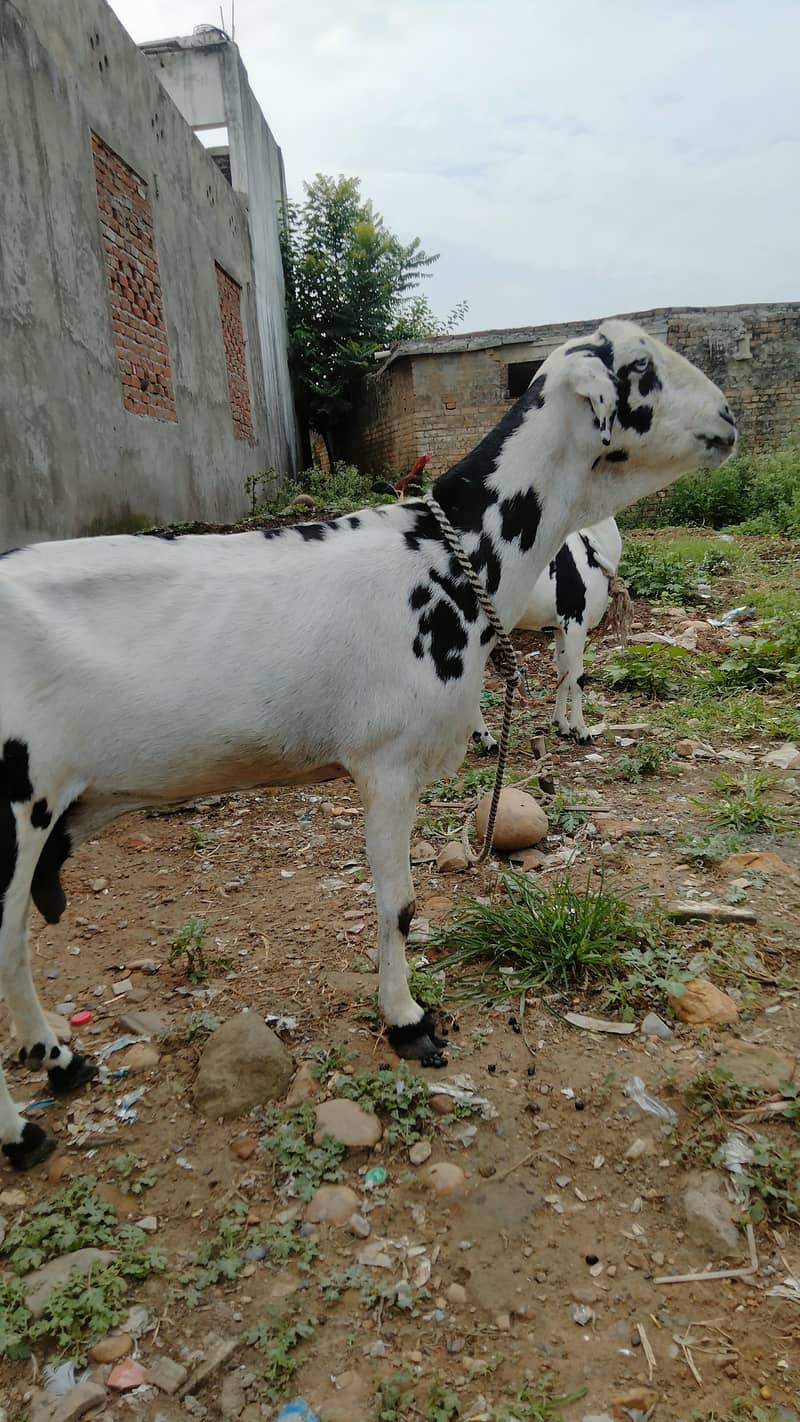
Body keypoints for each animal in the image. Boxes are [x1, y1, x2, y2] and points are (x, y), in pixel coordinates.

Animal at [472, 516, 623, 749]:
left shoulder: (560, 629)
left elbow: (563, 675)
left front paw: (561, 725)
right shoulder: (575, 622)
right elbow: (578, 678)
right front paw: (581, 730)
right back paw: (486, 739)